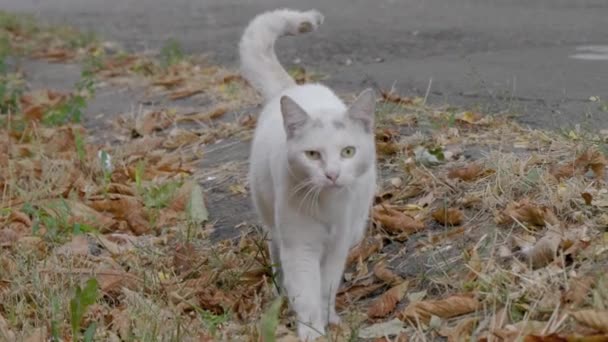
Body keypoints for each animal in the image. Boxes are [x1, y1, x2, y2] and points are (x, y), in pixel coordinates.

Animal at [239, 8, 376, 340]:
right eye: (312, 155)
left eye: (348, 152)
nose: (332, 174)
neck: (326, 207)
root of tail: (291, 89)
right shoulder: (300, 247)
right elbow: (306, 292)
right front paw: (312, 330)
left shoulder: (337, 246)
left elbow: (326, 287)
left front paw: (328, 320)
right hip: (272, 221)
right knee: (276, 253)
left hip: (355, 228)